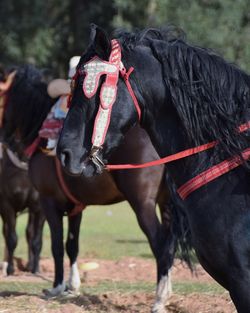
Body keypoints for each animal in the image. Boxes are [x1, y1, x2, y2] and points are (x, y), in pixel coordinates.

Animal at [0, 143, 44, 272]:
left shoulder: (39, 209)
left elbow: (36, 239)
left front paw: (36, 268)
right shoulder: (7, 207)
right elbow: (11, 239)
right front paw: (10, 269)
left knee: (29, 232)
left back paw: (30, 265)